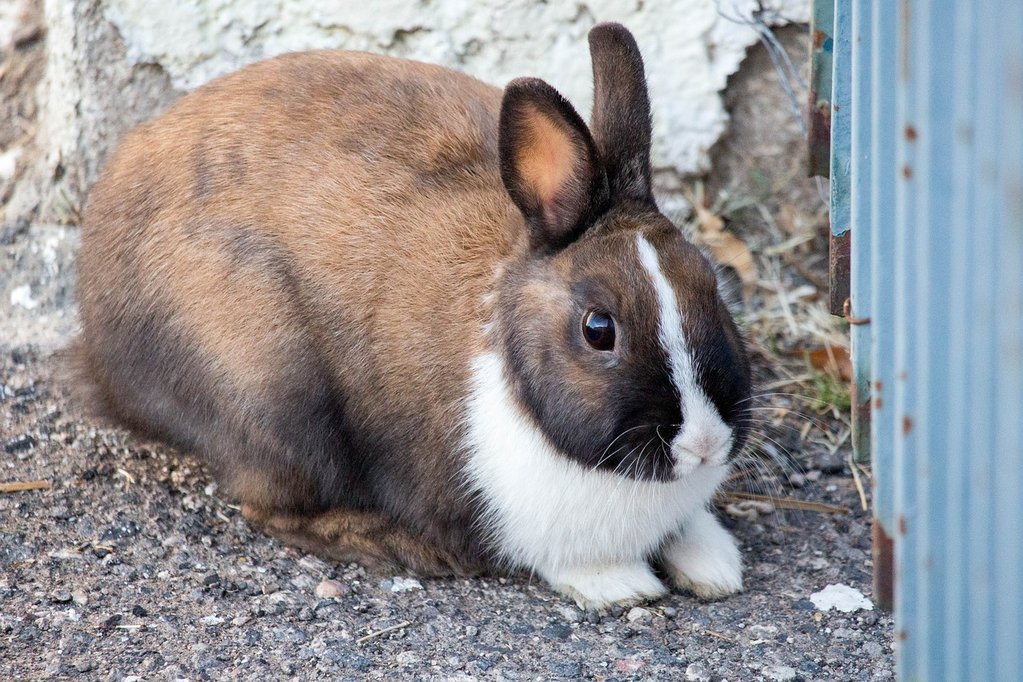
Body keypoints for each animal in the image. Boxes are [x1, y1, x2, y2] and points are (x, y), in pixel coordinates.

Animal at [72, 22, 753, 610]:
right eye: (598, 329)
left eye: (711, 285)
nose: (704, 443)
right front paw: (623, 585)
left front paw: (715, 566)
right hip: (272, 394)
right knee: (272, 508)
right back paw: (388, 543)